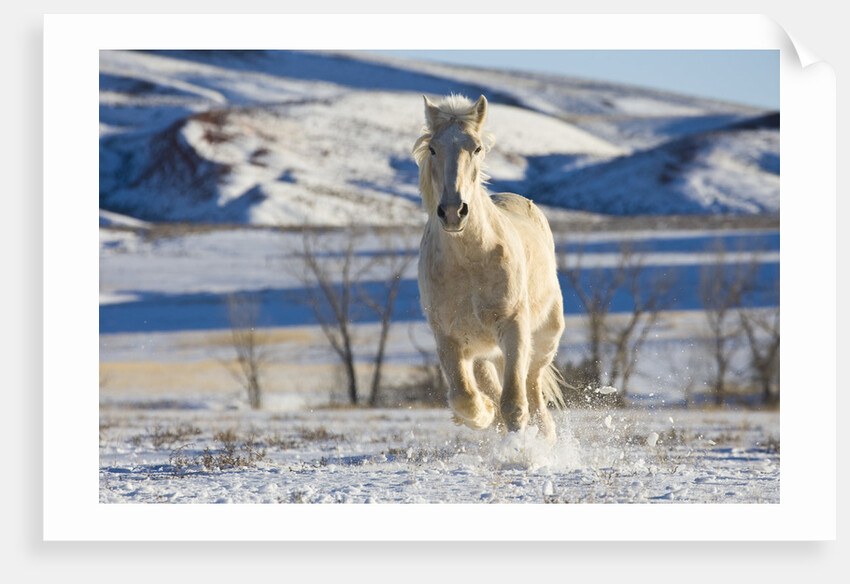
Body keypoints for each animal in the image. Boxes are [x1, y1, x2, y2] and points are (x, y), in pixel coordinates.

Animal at [413, 94, 566, 442]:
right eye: (433, 149)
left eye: (477, 147)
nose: (453, 212)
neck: (469, 264)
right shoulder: (449, 339)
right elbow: (464, 398)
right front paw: (480, 415)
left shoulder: (513, 328)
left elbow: (514, 404)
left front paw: (521, 446)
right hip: (484, 351)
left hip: (543, 339)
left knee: (534, 390)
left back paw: (546, 438)